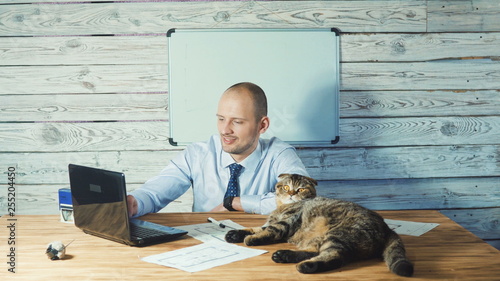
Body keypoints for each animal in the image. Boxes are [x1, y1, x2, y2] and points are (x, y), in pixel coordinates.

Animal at [227, 173, 414, 276]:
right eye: (286, 187)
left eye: (301, 189)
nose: (291, 194)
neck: (282, 208)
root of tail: (386, 226)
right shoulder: (275, 221)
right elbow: (256, 228)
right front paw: (235, 233)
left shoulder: (286, 223)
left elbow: (267, 231)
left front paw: (251, 239)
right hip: (322, 239)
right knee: (314, 252)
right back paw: (284, 255)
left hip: (340, 235)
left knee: (335, 257)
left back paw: (305, 265)